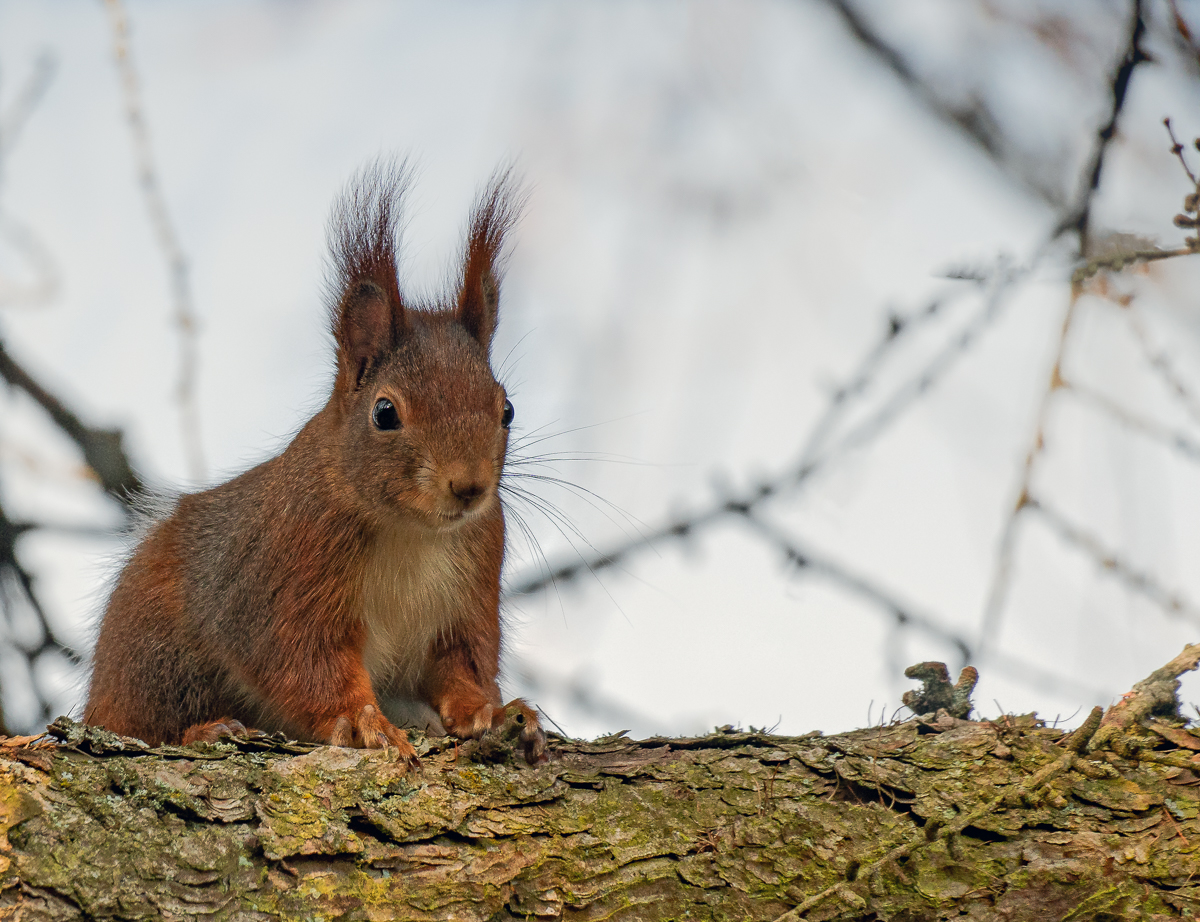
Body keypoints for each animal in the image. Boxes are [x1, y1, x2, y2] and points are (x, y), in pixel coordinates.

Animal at [85, 162, 549, 768]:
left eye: (507, 409)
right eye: (384, 412)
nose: (469, 487)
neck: (412, 531)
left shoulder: (472, 584)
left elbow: (461, 664)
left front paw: (492, 713)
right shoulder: (287, 571)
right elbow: (302, 661)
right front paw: (364, 723)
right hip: (155, 654)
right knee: (142, 724)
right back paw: (205, 730)